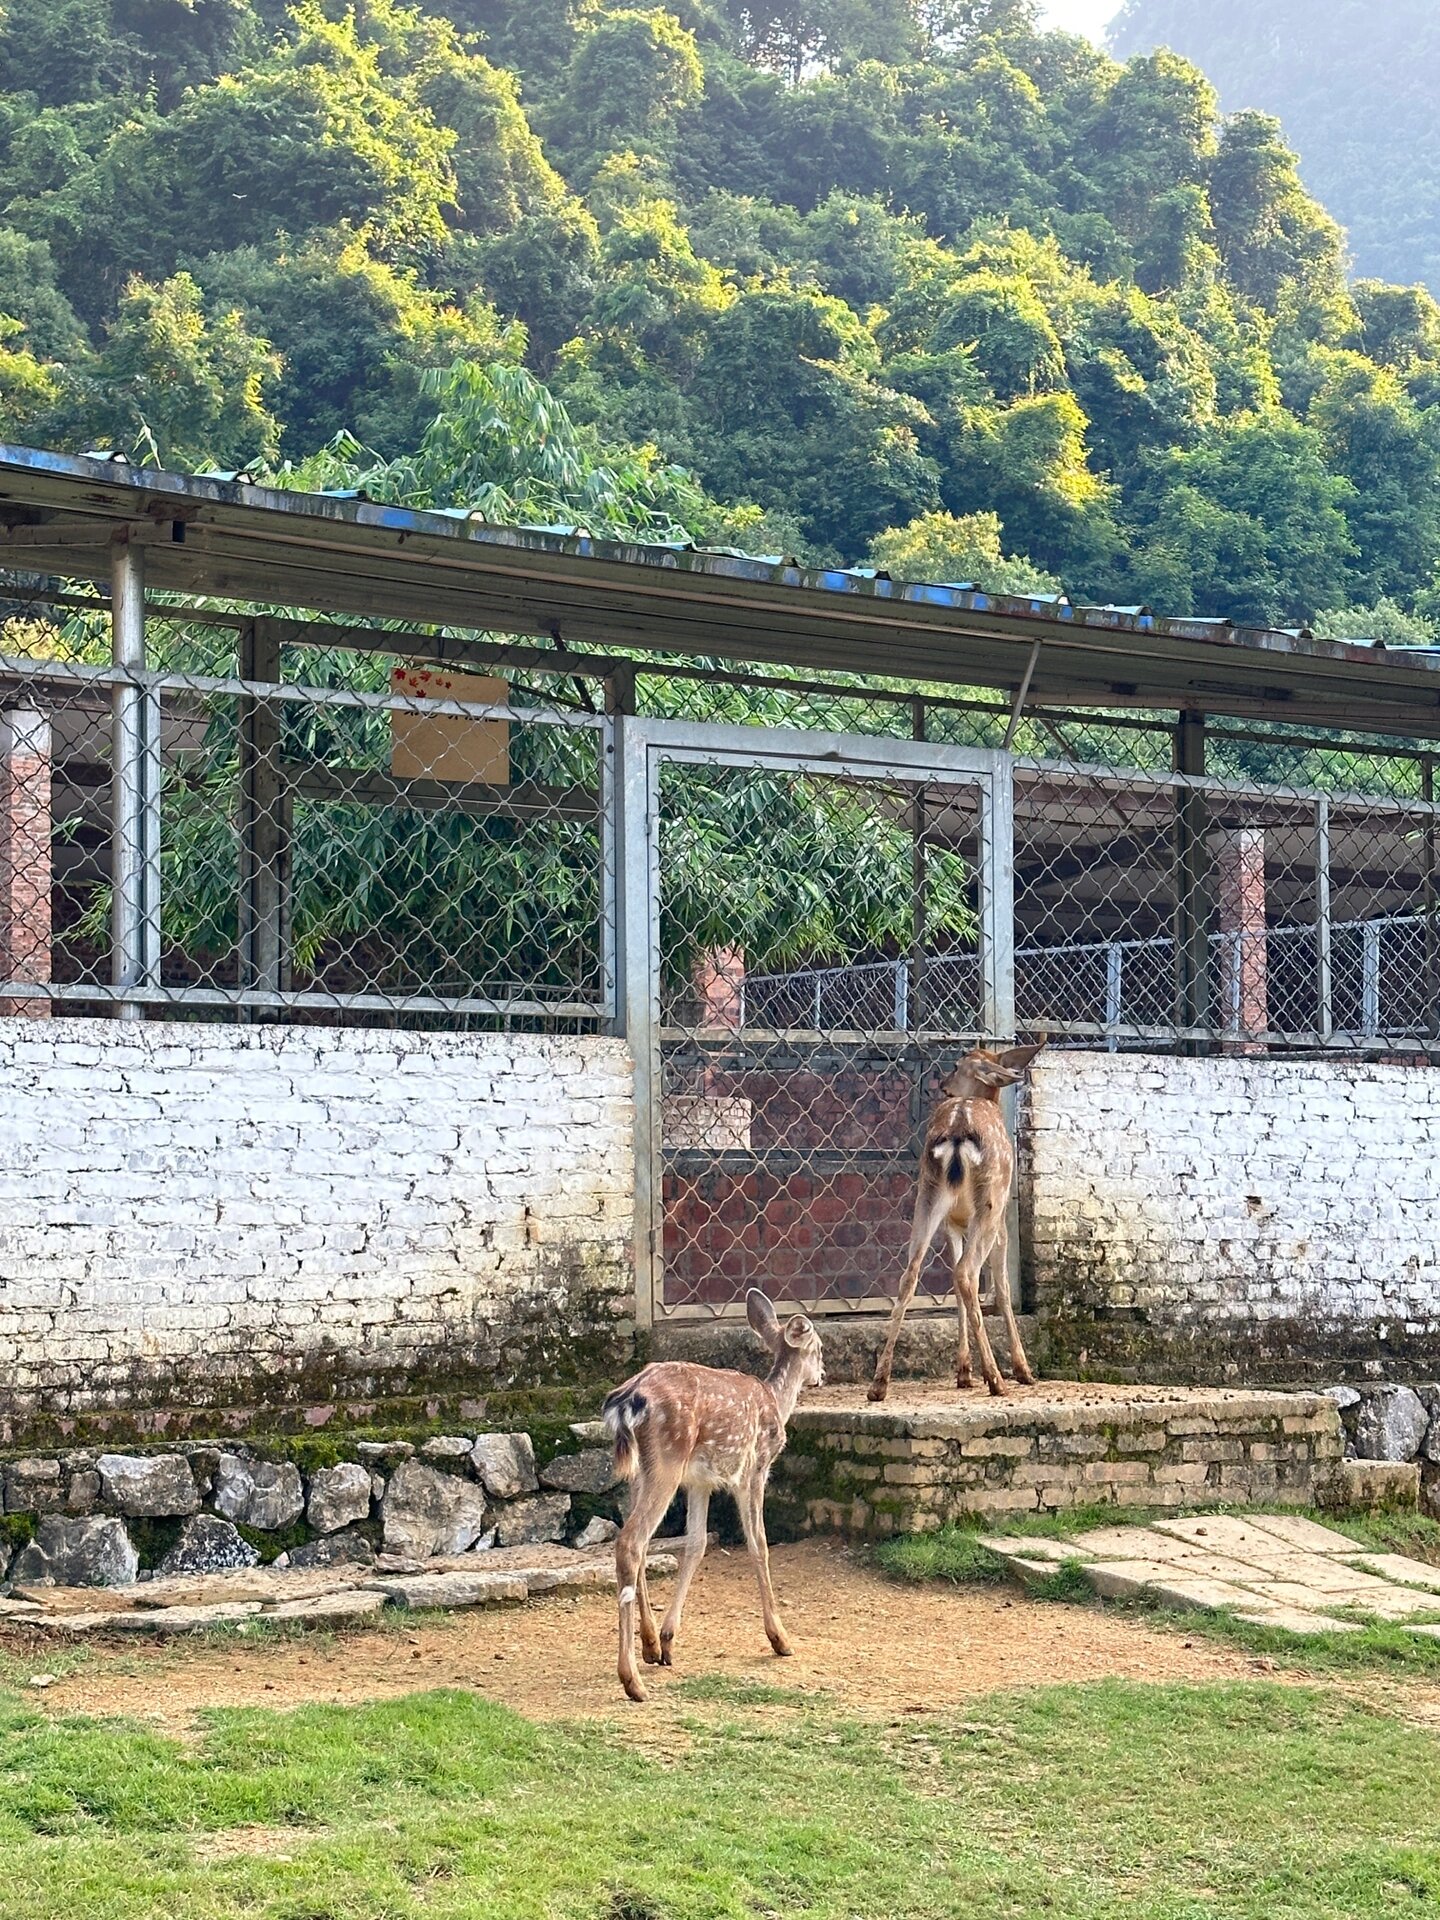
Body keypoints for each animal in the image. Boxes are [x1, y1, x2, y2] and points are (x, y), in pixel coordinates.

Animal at [599, 1297, 821, 1704]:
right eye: (819, 1348)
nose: (821, 1375)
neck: (776, 1402)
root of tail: (629, 1399)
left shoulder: (700, 1482)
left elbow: (697, 1544)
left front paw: (669, 1641)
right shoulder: (754, 1470)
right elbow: (759, 1544)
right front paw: (780, 1638)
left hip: (641, 1470)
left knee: (635, 1539)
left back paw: (649, 1646)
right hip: (668, 1459)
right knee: (631, 1542)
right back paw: (632, 1680)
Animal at [867, 1044, 1052, 1405]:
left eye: (956, 1066)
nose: (943, 1087)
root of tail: (956, 1133)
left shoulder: (953, 1225)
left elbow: (954, 1287)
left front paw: (964, 1372)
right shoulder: (1001, 1225)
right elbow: (1002, 1289)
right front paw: (1022, 1370)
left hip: (927, 1198)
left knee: (912, 1273)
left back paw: (879, 1384)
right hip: (990, 1204)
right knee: (967, 1273)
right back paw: (997, 1379)